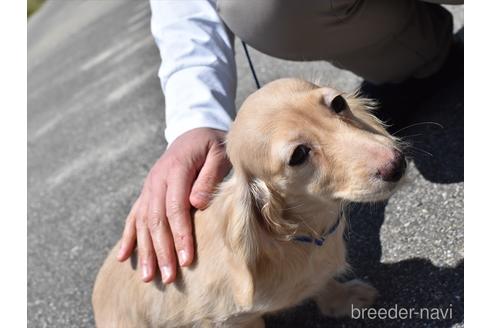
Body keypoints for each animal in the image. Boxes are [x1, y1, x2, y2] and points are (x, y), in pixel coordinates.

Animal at [93, 78, 408, 326]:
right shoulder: (229, 320)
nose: (396, 164)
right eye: (298, 155)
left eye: (338, 103)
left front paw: (342, 298)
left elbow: (323, 285)